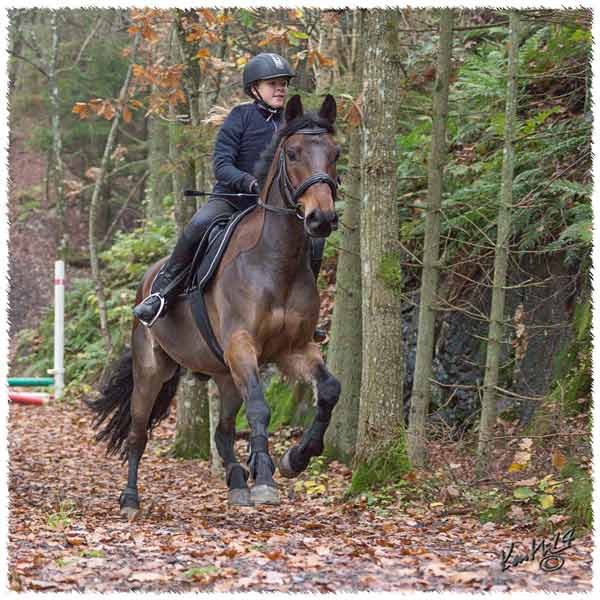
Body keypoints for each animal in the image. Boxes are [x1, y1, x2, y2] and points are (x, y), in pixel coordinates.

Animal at [87, 94, 344, 516]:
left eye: (335, 153)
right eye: (292, 153)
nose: (321, 219)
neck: (277, 261)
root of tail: (146, 281)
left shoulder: (293, 349)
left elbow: (329, 391)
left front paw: (294, 458)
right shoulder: (243, 346)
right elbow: (260, 408)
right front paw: (266, 479)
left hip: (225, 375)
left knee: (222, 432)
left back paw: (238, 483)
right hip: (153, 370)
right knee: (139, 433)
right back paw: (130, 499)